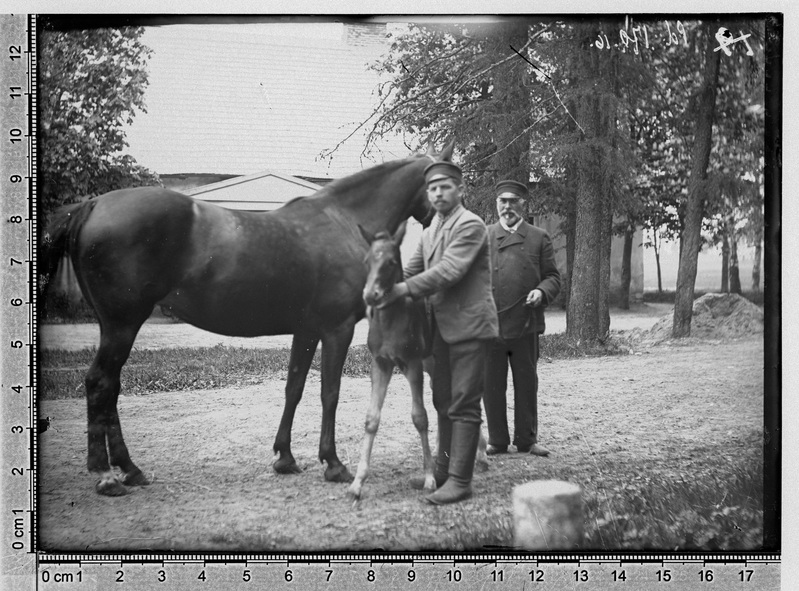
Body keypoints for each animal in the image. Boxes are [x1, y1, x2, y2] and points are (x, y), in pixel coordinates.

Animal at [350, 223, 438, 500]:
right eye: (367, 260)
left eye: (390, 262)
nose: (370, 295)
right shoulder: (380, 364)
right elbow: (371, 418)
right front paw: (357, 482)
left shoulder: (412, 364)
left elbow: (420, 417)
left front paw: (429, 477)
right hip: (432, 364)